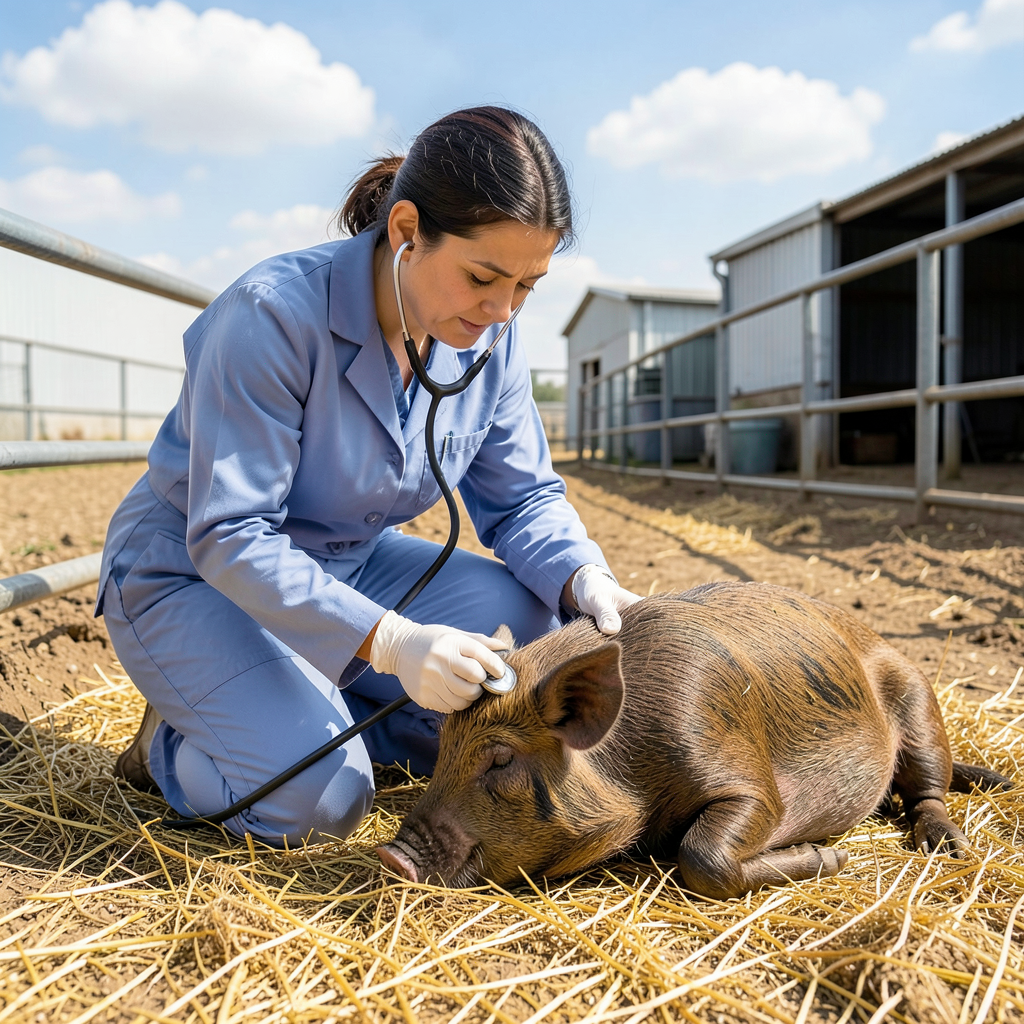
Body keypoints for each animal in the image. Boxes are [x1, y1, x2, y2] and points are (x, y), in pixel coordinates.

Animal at [377, 582, 1014, 899]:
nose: (391, 855)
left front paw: (831, 858)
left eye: (501, 759)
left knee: (928, 790)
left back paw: (950, 847)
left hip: (916, 693)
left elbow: (702, 855)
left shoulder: (741, 771)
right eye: (443, 746)